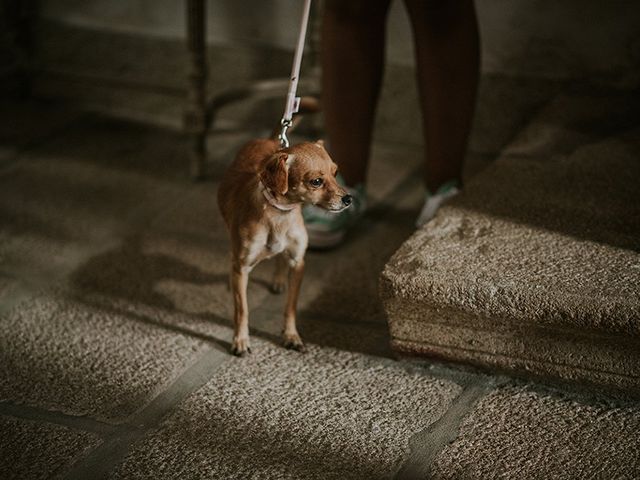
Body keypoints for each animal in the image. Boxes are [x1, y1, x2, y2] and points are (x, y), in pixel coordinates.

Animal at [219, 129, 350, 358]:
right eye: (316, 181)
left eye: (335, 173)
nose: (348, 200)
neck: (279, 215)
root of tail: (271, 139)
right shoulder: (243, 267)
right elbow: (242, 309)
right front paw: (241, 341)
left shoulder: (298, 263)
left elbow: (290, 307)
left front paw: (291, 336)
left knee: (280, 257)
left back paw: (279, 280)